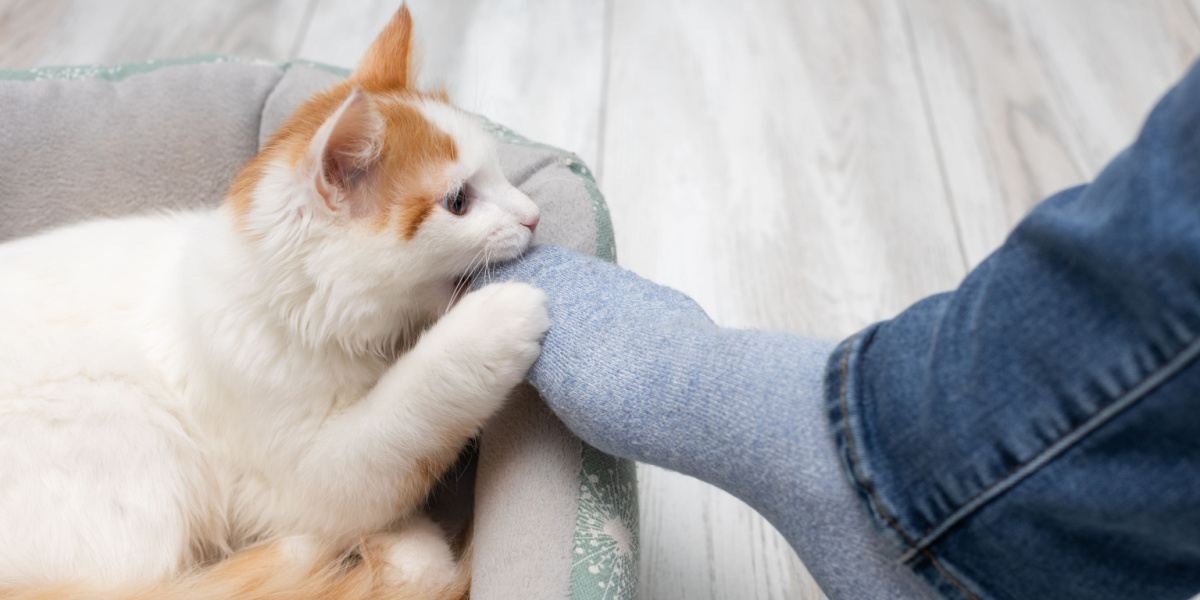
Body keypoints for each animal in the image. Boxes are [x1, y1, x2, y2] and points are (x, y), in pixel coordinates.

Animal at [0, 5, 549, 600]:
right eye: (458, 202)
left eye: (499, 173)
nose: (534, 215)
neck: (294, 310)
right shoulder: (304, 477)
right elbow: (404, 427)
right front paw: (497, 322)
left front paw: (406, 550)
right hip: (132, 429)